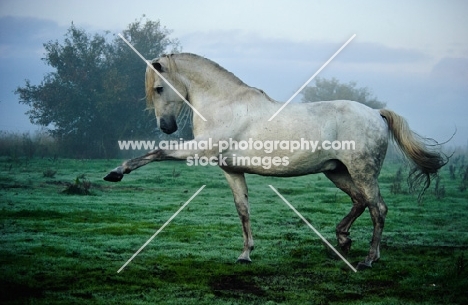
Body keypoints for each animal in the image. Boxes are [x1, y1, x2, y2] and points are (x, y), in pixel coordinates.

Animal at [105, 52, 446, 268]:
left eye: (160, 88)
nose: (167, 127)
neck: (224, 105)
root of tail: (376, 113)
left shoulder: (199, 151)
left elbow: (157, 152)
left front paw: (116, 172)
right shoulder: (231, 171)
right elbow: (243, 210)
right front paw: (245, 255)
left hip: (363, 172)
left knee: (378, 208)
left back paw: (369, 259)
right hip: (337, 172)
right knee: (360, 202)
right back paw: (343, 240)